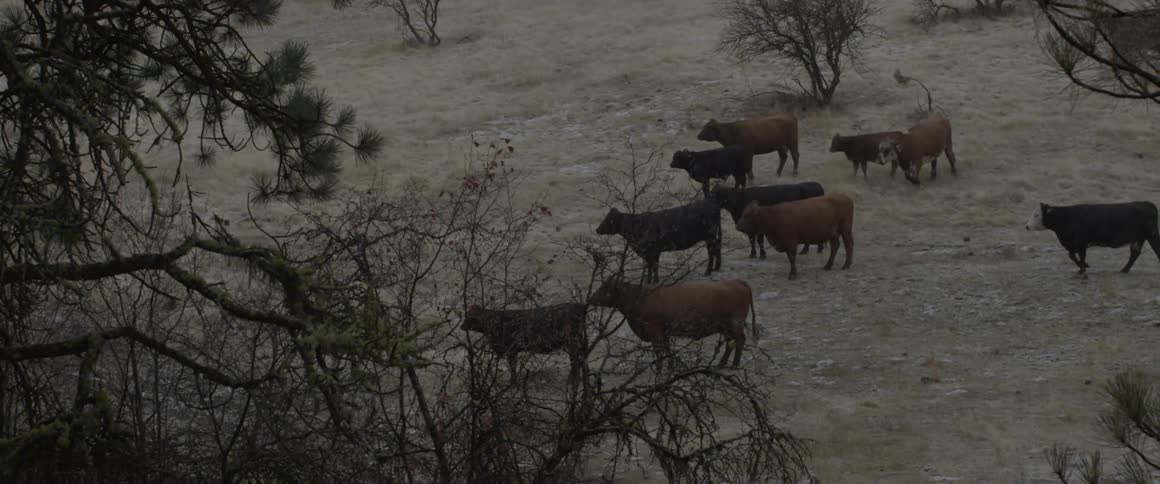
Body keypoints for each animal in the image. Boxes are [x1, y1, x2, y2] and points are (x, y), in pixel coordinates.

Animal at [588, 276, 757, 372]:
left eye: (605, 289)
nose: (591, 298)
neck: (640, 297)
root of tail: (737, 282)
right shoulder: (663, 333)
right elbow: (668, 350)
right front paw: (670, 368)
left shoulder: (655, 331)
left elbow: (659, 351)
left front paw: (659, 370)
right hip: (725, 327)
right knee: (730, 342)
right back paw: (721, 364)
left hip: (734, 324)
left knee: (739, 340)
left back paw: (734, 365)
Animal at [1024, 202, 1160, 275]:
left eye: (1037, 215)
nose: (1027, 226)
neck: (1067, 218)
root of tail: (1146, 203)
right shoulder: (1074, 244)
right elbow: (1072, 256)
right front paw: (1083, 267)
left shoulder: (1081, 243)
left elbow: (1080, 256)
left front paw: (1083, 268)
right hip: (1138, 239)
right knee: (1134, 254)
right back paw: (1124, 270)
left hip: (1151, 235)